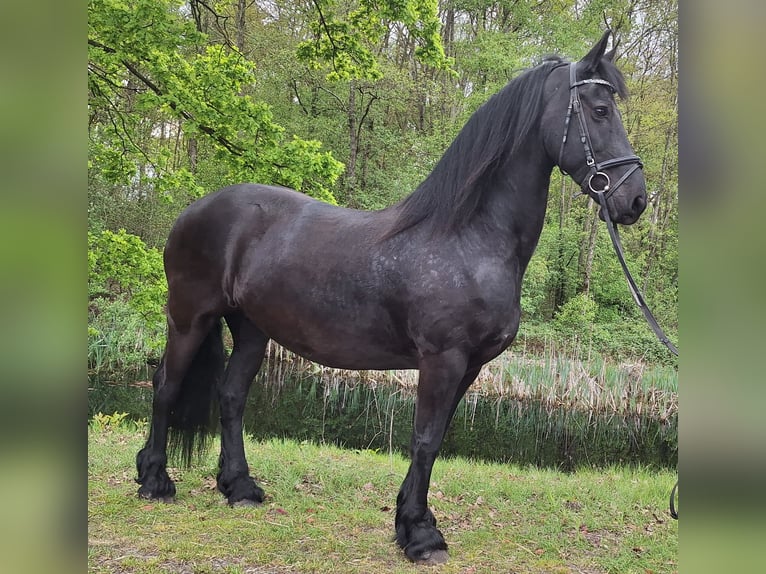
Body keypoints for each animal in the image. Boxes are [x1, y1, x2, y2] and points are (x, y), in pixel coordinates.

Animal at [136, 31, 646, 564]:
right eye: (600, 110)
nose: (636, 199)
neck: (468, 237)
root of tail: (193, 210)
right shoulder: (442, 359)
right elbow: (423, 440)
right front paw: (420, 535)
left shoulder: (471, 365)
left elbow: (435, 441)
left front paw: (410, 520)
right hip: (189, 318)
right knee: (166, 385)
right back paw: (155, 480)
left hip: (253, 330)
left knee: (231, 396)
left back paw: (239, 487)